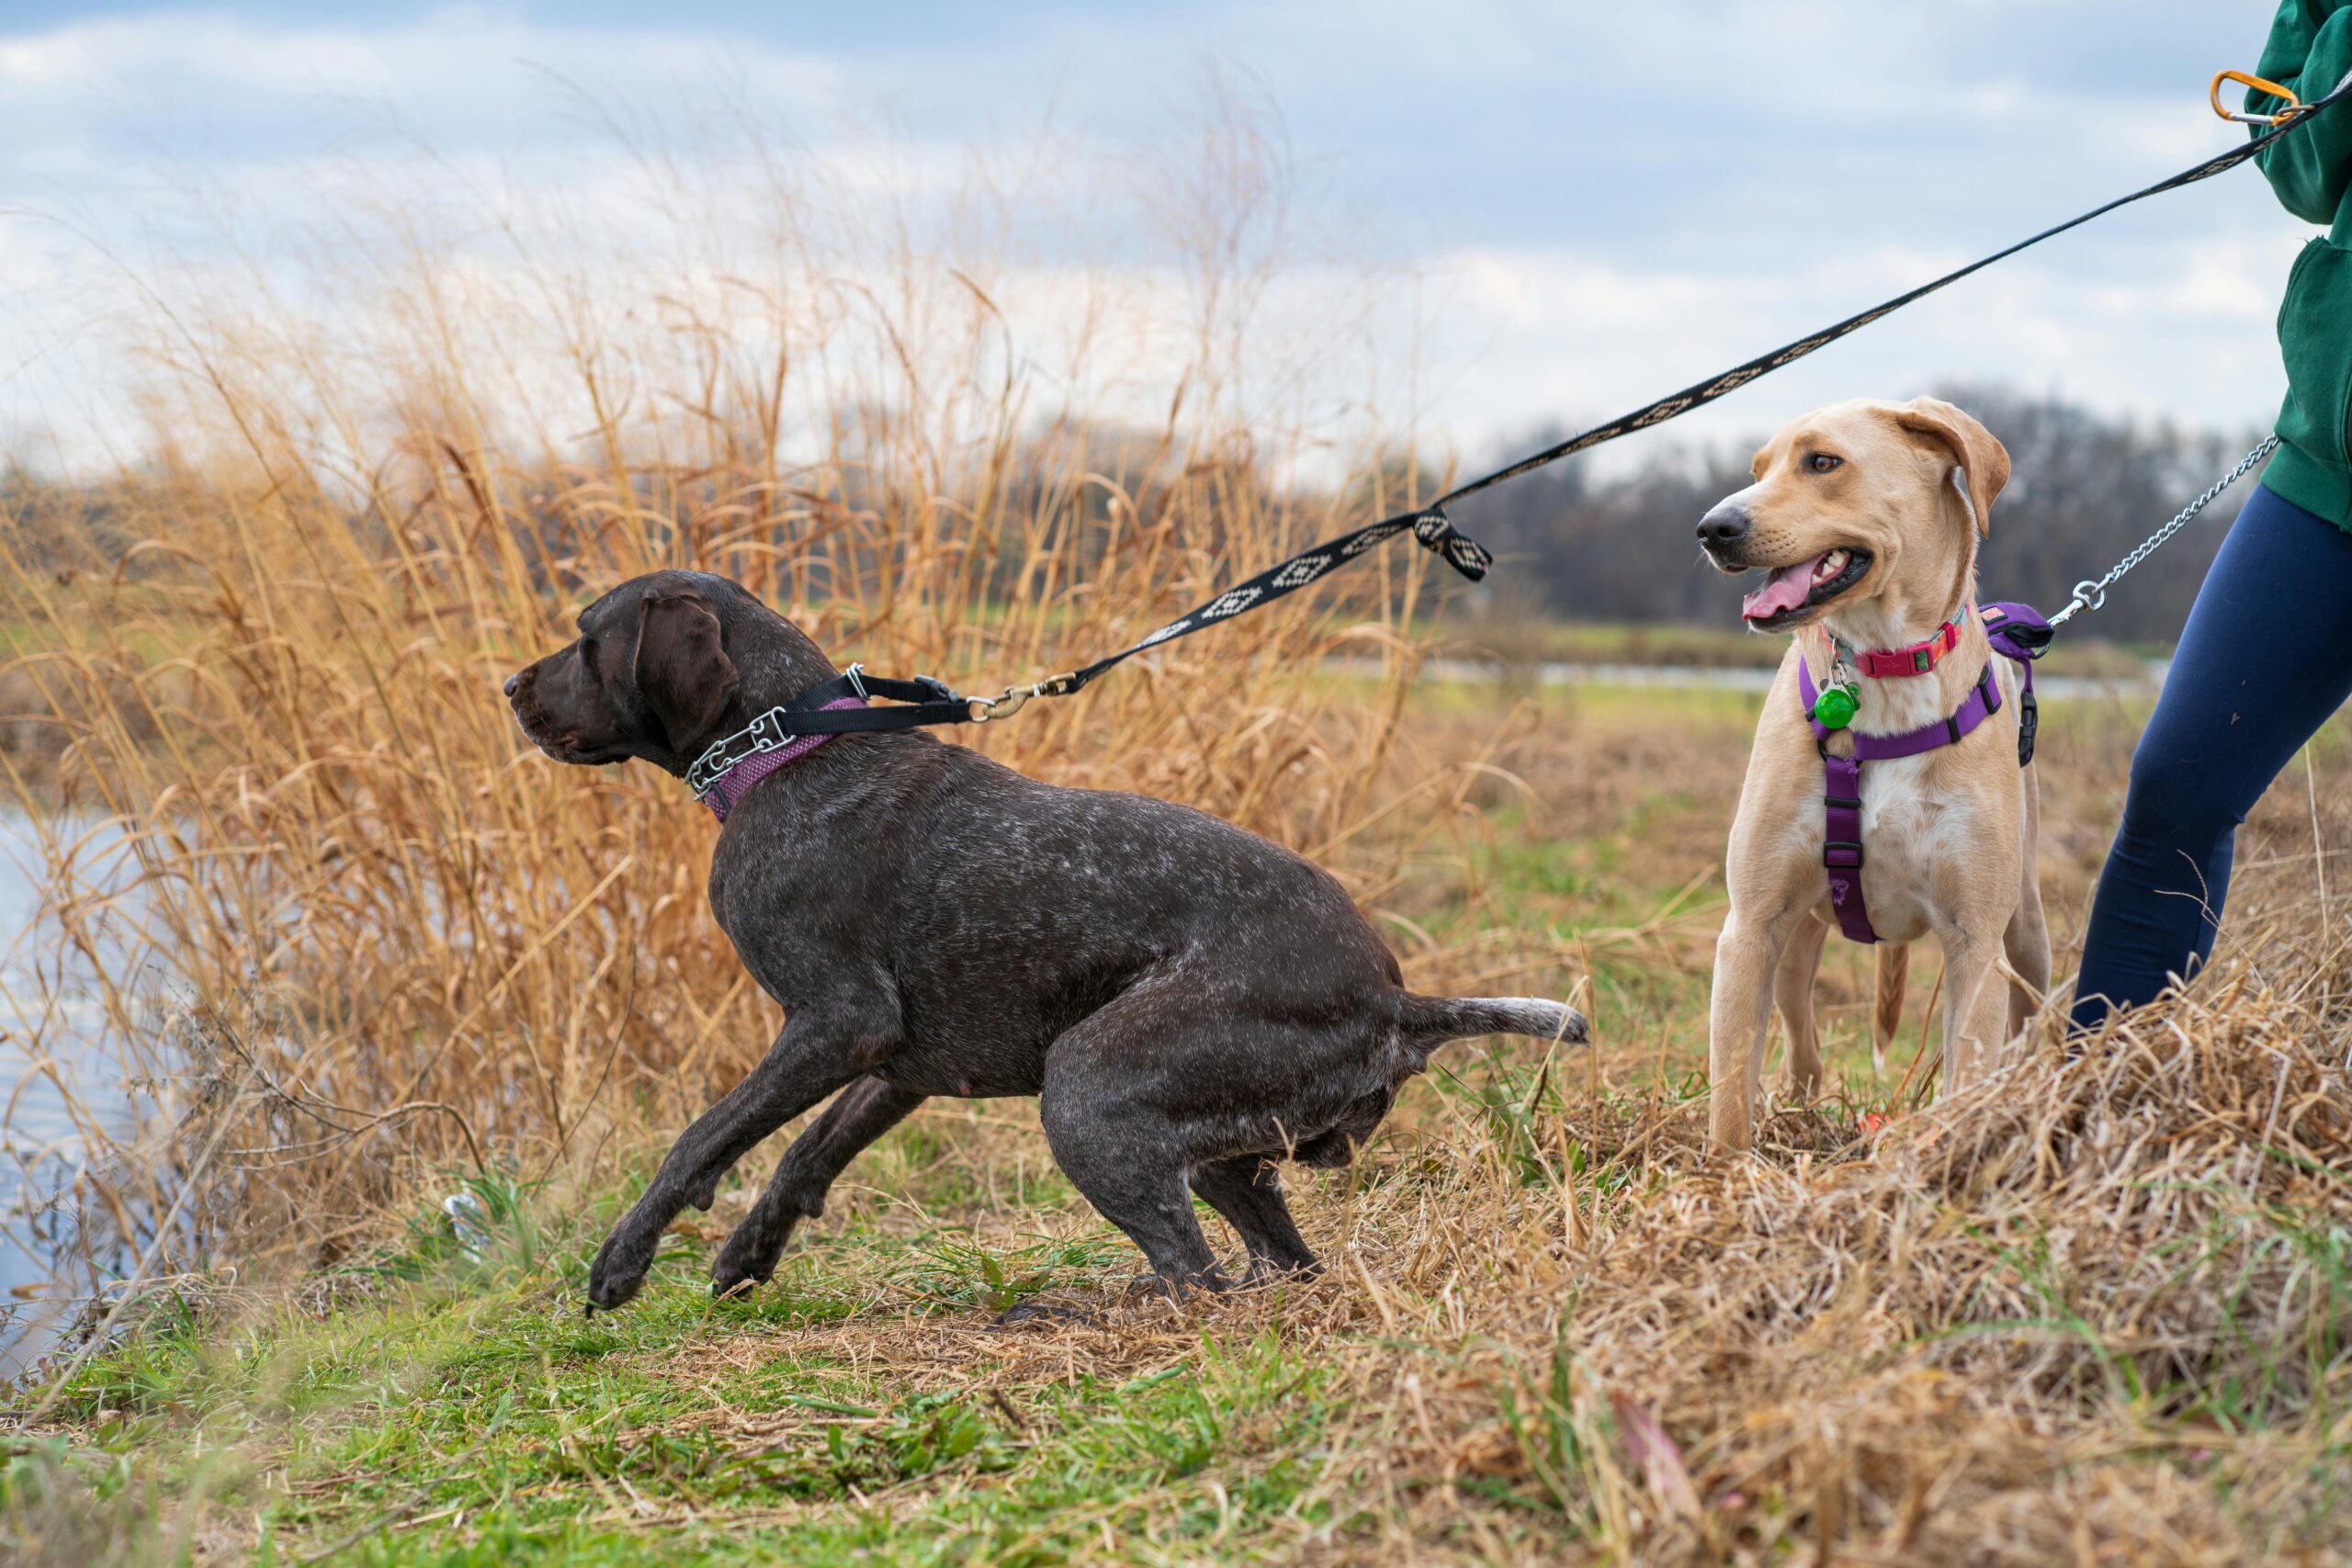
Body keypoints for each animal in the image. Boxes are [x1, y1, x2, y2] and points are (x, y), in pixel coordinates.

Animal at [505, 570, 1589, 1316]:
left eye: (585, 640)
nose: (510, 685)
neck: (786, 752)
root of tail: (1396, 1002)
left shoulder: (837, 1022)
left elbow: (703, 1137)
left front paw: (623, 1258)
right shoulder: (896, 1063)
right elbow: (807, 1153)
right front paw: (746, 1255)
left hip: (1088, 1086)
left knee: (1194, 1278)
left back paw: (1076, 1309)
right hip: (1220, 1149)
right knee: (1271, 1267)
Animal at [1702, 400, 2051, 1146]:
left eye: (1822, 462)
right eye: (1758, 469)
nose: (1713, 528)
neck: (1884, 668)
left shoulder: (1976, 944)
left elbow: (1965, 1073)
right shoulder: (1749, 929)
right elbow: (1730, 1097)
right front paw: (1725, 1174)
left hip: (2027, 928)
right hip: (1795, 943)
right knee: (1801, 1040)